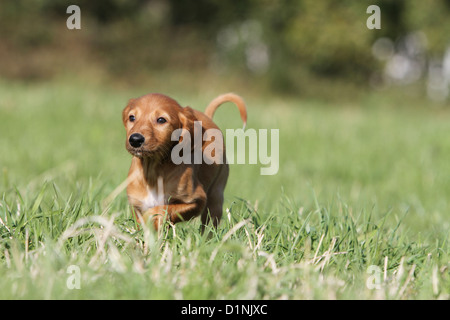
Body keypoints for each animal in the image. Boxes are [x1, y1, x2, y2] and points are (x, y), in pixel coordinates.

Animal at [123, 92, 248, 230]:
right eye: (132, 117)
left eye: (161, 120)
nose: (135, 140)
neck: (153, 170)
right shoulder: (137, 204)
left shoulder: (197, 200)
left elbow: (162, 209)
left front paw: (149, 218)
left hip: (215, 197)